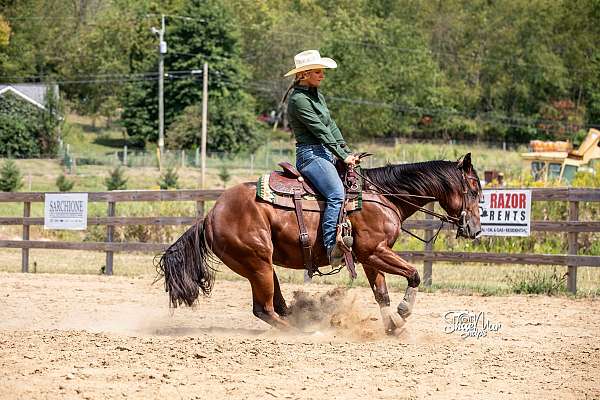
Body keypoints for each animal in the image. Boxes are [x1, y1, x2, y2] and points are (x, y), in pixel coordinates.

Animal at [156, 152, 482, 332]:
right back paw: (304, 332)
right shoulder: (375, 251)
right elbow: (413, 275)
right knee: (263, 309)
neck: (382, 196)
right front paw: (403, 313)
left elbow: (381, 294)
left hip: (263, 266)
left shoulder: (370, 257)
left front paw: (392, 327)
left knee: (276, 305)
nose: (476, 230)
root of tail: (211, 215)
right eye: (475, 189)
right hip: (256, 264)